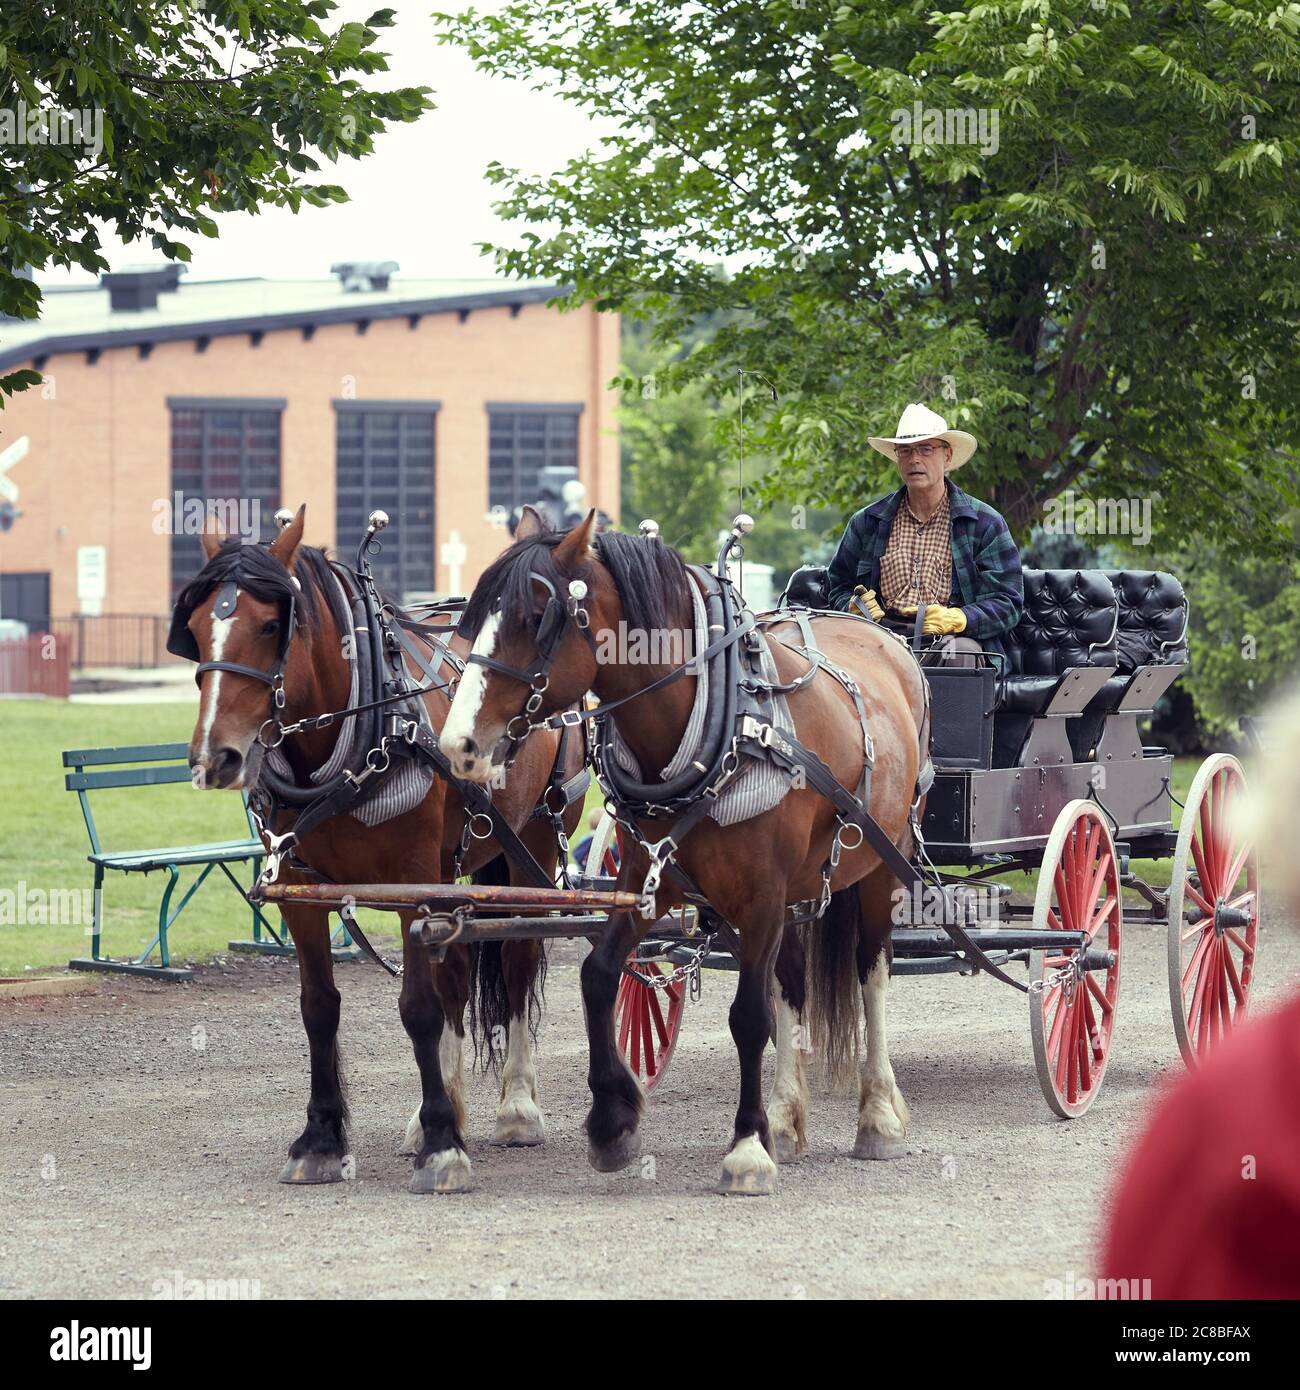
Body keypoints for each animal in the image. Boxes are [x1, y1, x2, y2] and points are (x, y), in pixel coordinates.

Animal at [175, 511, 581, 1195]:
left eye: (270, 625)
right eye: (200, 627)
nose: (216, 756)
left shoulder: (412, 886)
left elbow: (418, 1007)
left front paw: (444, 1150)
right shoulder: (300, 889)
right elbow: (319, 1008)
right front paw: (322, 1140)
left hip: (535, 845)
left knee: (518, 961)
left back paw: (516, 1108)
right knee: (457, 971)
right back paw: (441, 1108)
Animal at [442, 511, 928, 1195]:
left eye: (534, 616)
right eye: (474, 613)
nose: (457, 744)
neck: (716, 729)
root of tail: (881, 634)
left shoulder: (761, 898)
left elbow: (748, 1017)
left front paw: (746, 1150)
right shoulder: (650, 880)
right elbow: (599, 976)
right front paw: (614, 1122)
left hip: (886, 860)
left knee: (871, 972)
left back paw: (877, 1115)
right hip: (801, 889)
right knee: (793, 982)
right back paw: (786, 1117)